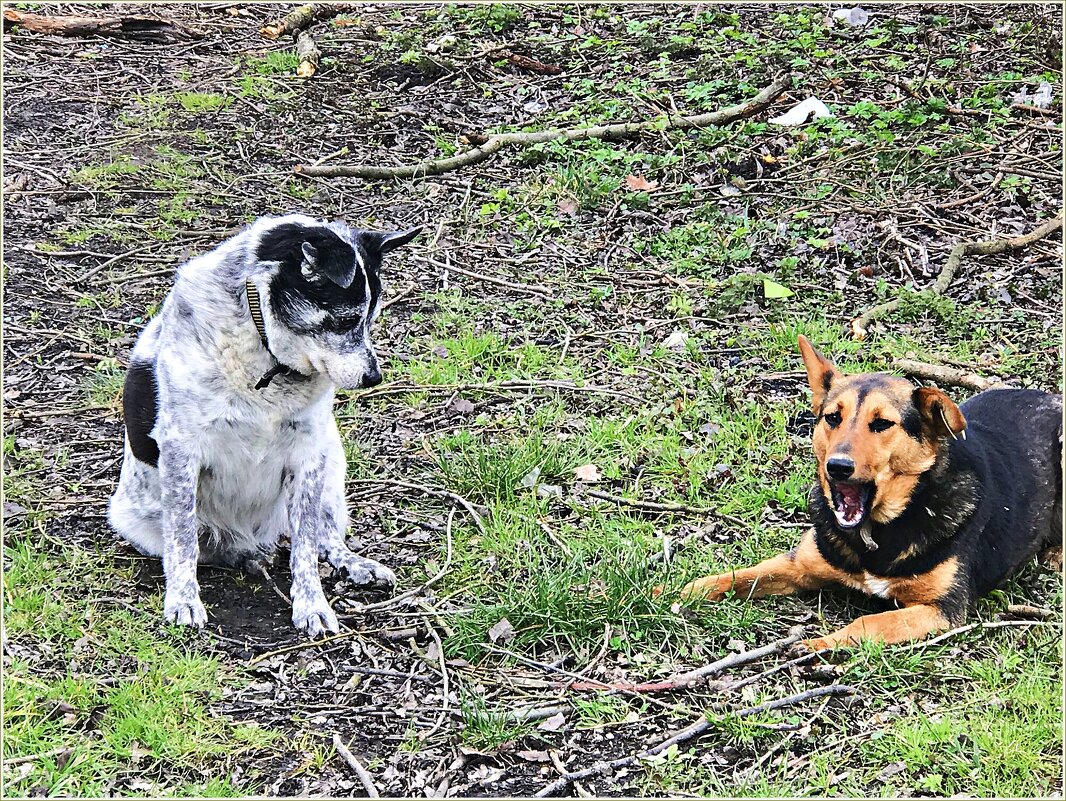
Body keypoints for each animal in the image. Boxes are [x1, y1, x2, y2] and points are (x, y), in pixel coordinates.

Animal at [109, 214, 420, 639]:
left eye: (371, 321)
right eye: (344, 321)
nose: (374, 377)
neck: (268, 357)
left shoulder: (309, 455)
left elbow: (306, 545)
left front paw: (312, 605)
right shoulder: (181, 451)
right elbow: (184, 540)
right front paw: (184, 601)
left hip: (332, 462)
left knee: (324, 535)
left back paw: (352, 564)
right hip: (138, 518)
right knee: (203, 545)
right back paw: (242, 556)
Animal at [677, 334, 1061, 648]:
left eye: (882, 424)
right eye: (832, 417)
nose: (838, 466)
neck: (876, 530)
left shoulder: (941, 609)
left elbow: (869, 623)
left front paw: (819, 645)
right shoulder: (800, 564)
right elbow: (740, 575)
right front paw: (679, 591)